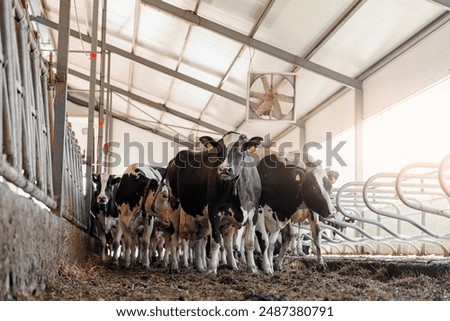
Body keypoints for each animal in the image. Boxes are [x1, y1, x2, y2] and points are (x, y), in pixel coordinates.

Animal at [168, 131, 268, 274]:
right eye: (218, 150)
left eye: (240, 150)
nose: (224, 169)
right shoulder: (213, 211)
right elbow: (215, 242)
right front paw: (212, 269)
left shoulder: (252, 212)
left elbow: (249, 243)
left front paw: (252, 268)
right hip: (174, 204)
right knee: (174, 238)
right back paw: (175, 266)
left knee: (202, 240)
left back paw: (205, 266)